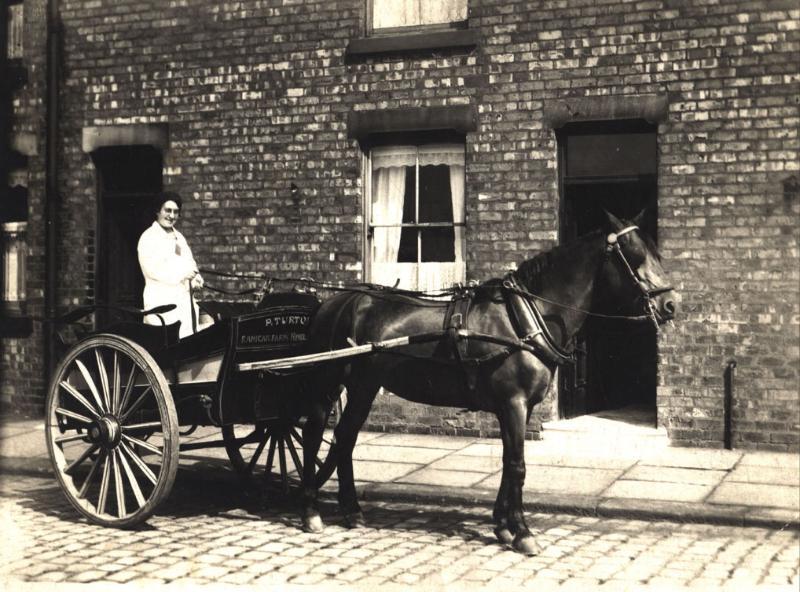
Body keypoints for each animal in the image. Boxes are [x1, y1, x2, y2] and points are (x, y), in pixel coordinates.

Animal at [298, 212, 676, 556]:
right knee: (316, 434)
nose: (671, 304)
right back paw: (311, 511)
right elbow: (517, 466)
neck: (525, 319)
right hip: (332, 382)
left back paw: (351, 510)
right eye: (634, 254)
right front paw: (523, 532)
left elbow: (509, 463)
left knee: (344, 437)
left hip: (364, 385)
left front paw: (503, 526)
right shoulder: (513, 403)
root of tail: (338, 301)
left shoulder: (519, 408)